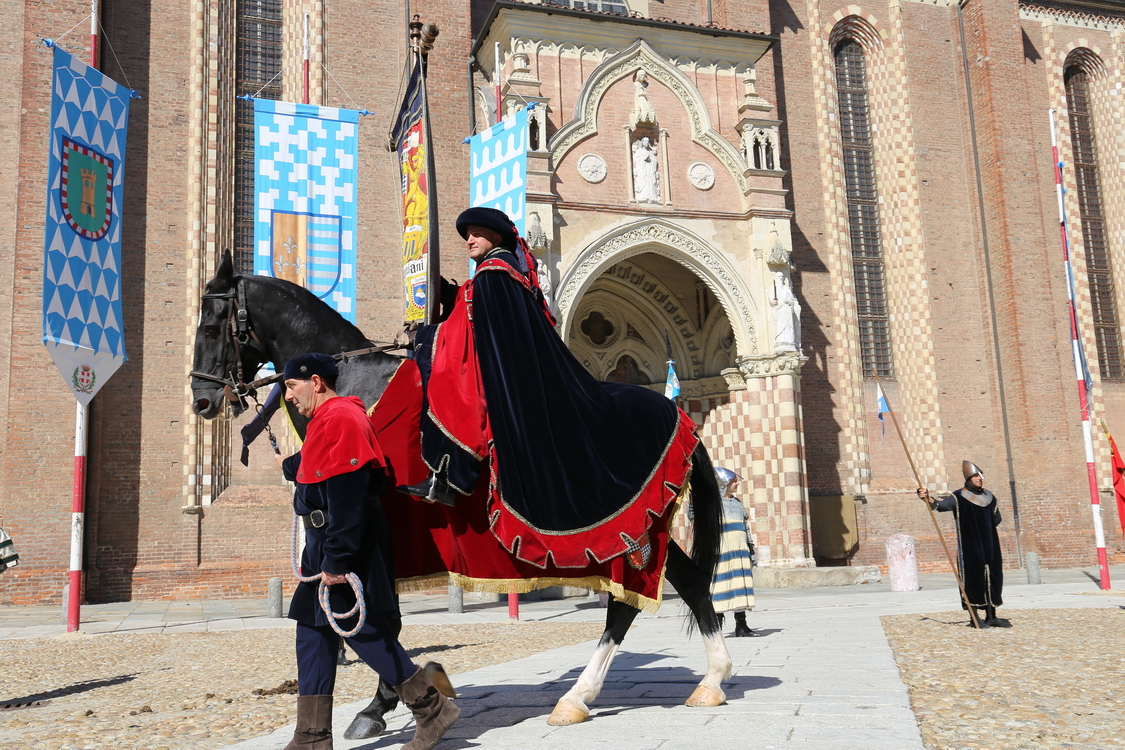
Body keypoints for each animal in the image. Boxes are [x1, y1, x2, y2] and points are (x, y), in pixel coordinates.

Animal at [190, 250, 733, 733]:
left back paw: (584, 694)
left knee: (633, 600)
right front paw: (395, 697)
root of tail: (681, 416)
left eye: (211, 327)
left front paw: (384, 702)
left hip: (628, 527)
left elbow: (379, 612)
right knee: (684, 582)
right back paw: (705, 681)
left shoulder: (373, 518)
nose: (201, 400)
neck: (350, 384)